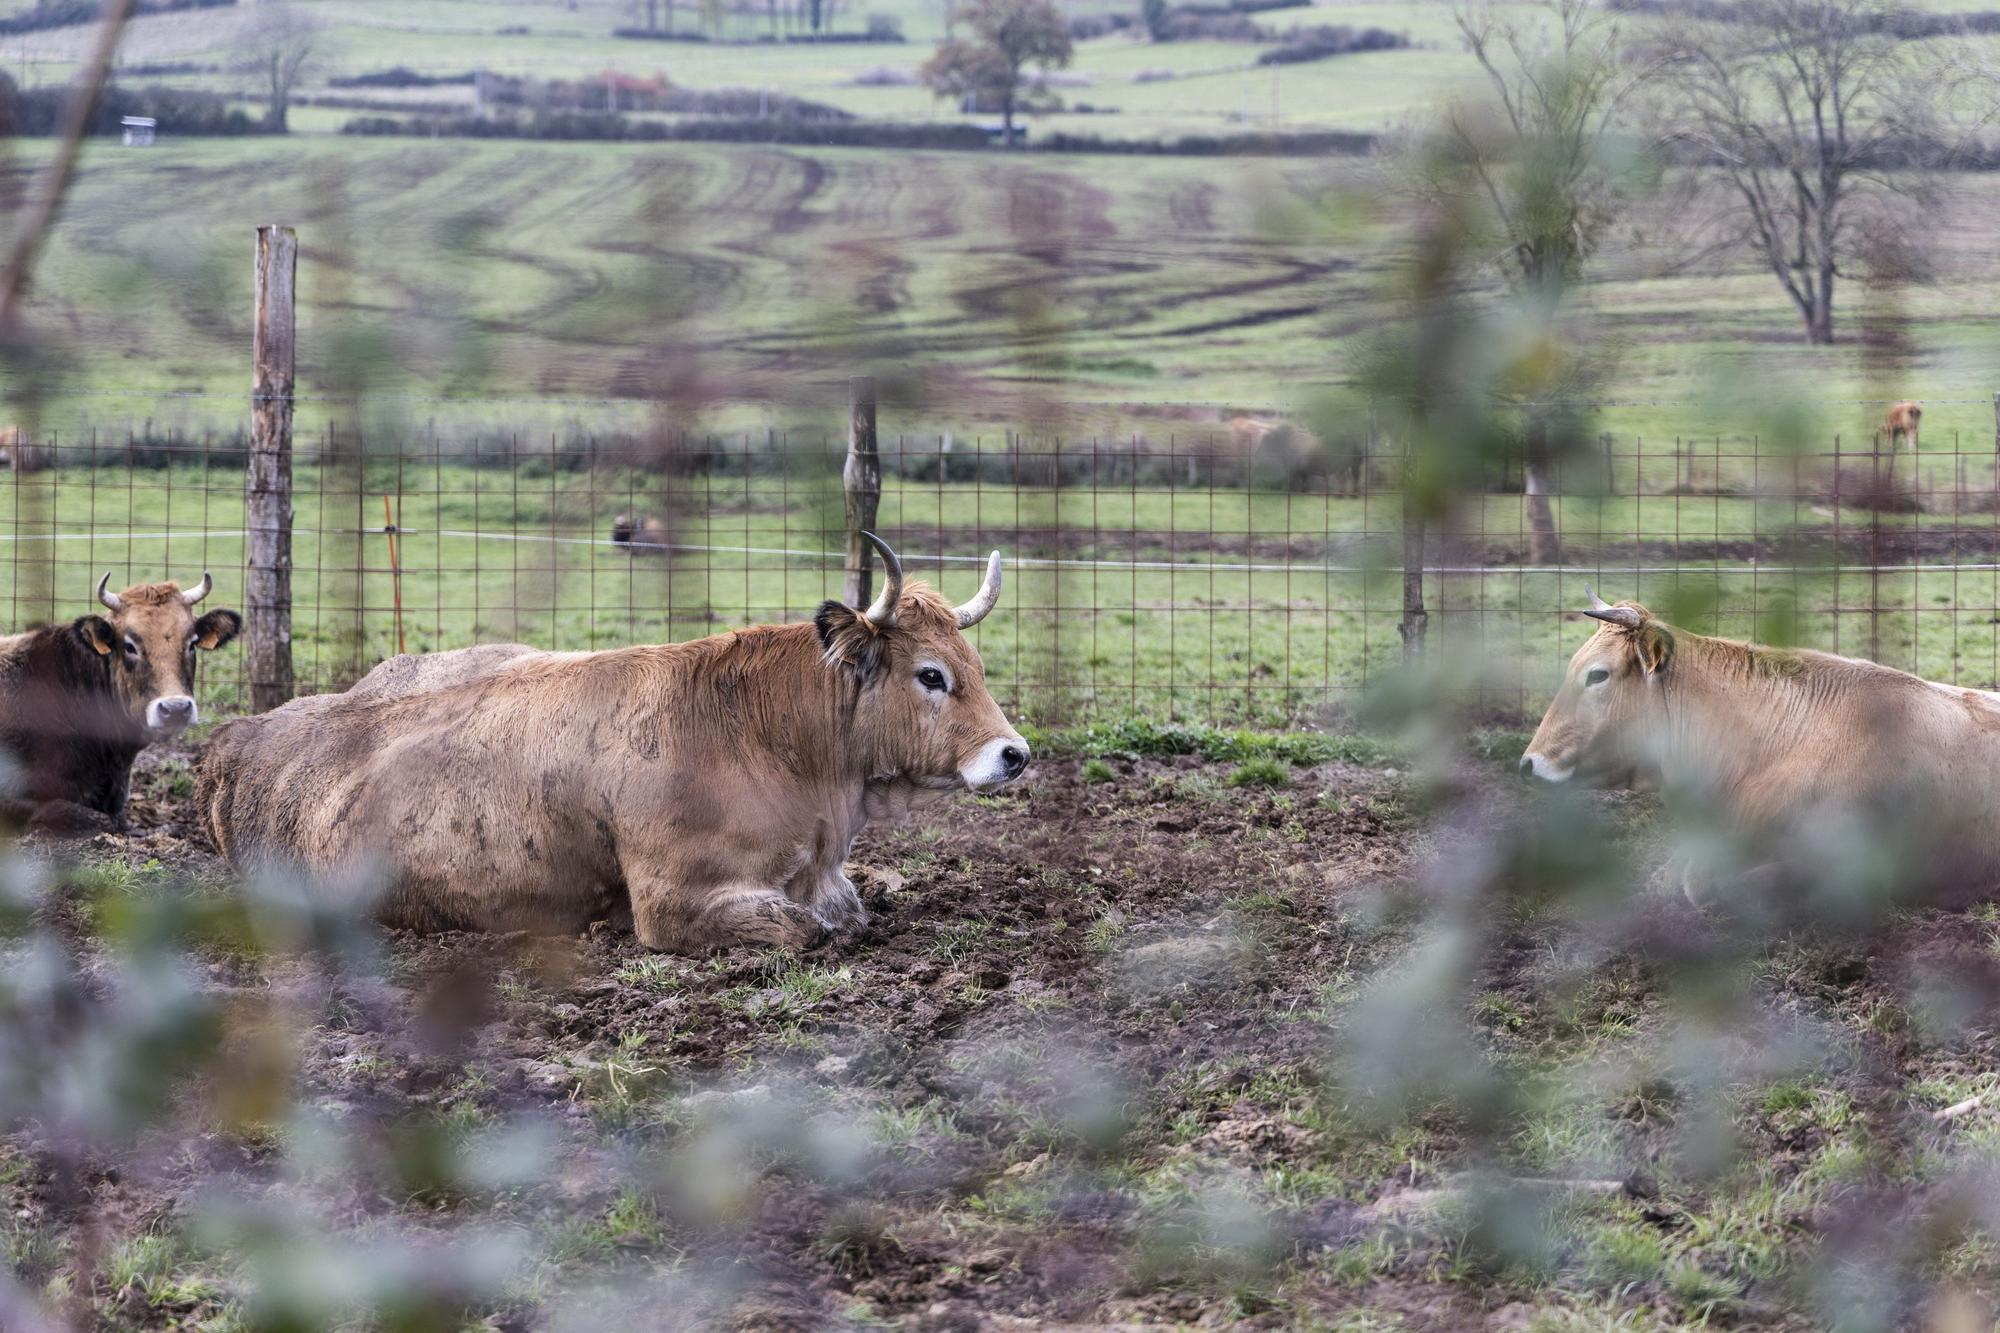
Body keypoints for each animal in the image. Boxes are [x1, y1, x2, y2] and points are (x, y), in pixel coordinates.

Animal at [199, 536, 1032, 948]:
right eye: (931, 674)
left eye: (971, 663)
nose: (1014, 754)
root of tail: (242, 739)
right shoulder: (672, 902)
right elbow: (811, 930)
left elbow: (846, 911)